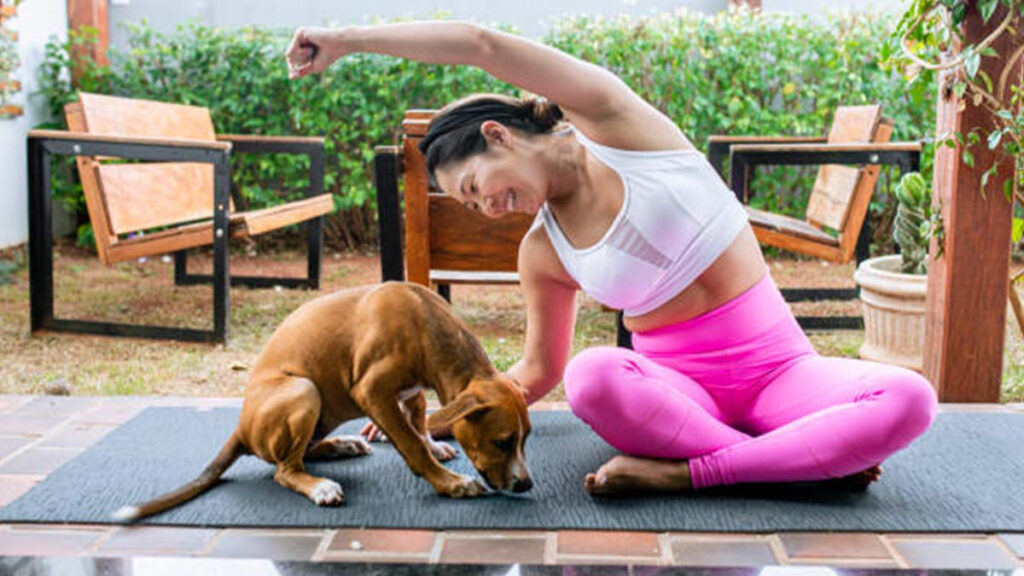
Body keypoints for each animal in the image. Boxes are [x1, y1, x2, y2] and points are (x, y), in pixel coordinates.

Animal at [114, 280, 536, 518]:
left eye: (524, 440)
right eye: (502, 442)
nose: (526, 485)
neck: (424, 321)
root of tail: (241, 428)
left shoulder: (413, 391)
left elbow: (418, 423)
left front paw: (435, 444)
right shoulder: (373, 392)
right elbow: (411, 444)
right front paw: (449, 483)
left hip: (321, 409)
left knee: (297, 454)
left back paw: (340, 446)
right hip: (304, 390)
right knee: (285, 469)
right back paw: (320, 486)